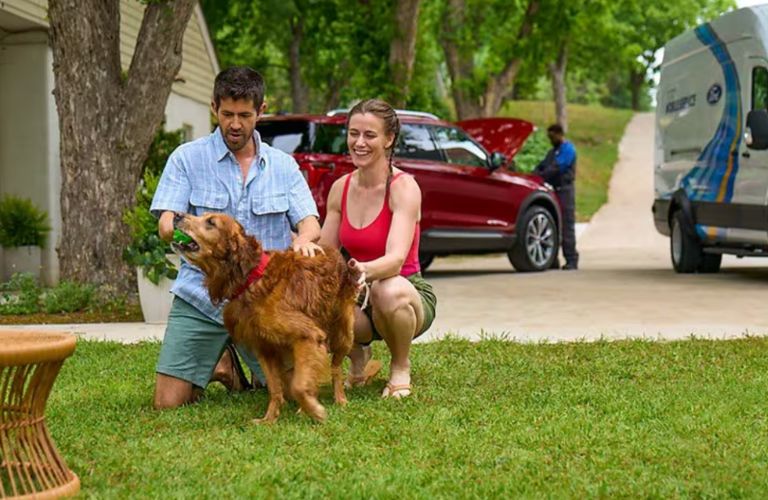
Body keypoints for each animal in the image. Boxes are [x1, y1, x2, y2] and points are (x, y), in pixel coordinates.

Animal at [171, 211, 360, 422]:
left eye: (211, 222)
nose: (176, 215)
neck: (253, 279)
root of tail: (334, 251)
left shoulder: (308, 335)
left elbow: (298, 386)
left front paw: (315, 411)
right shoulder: (265, 347)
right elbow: (275, 388)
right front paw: (269, 419)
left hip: (344, 334)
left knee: (335, 368)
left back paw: (339, 399)